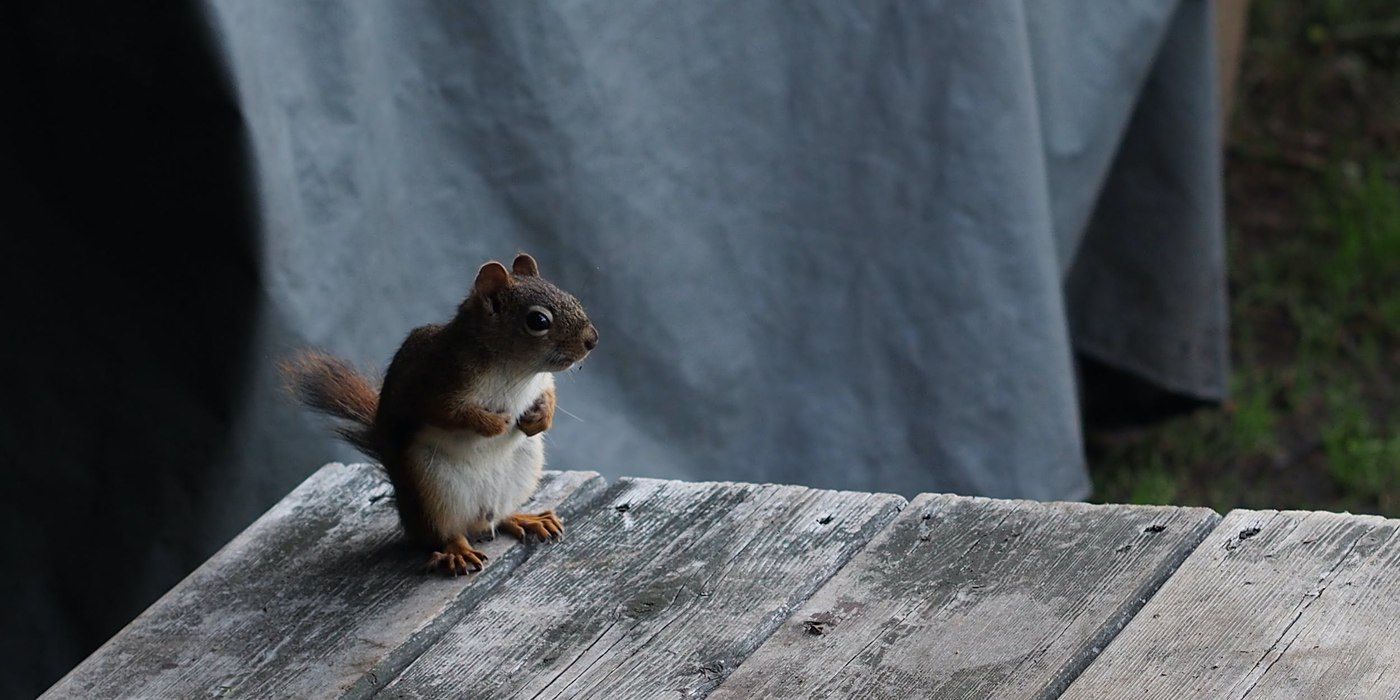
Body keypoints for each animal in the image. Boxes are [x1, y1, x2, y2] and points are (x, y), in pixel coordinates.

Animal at [278, 254, 596, 576]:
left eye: (572, 298)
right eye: (538, 321)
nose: (592, 340)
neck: (516, 370)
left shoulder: (541, 383)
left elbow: (549, 395)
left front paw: (540, 418)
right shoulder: (434, 384)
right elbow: (451, 414)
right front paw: (495, 424)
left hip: (522, 469)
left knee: (499, 516)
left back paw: (524, 518)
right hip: (432, 490)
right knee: (444, 533)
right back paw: (458, 552)